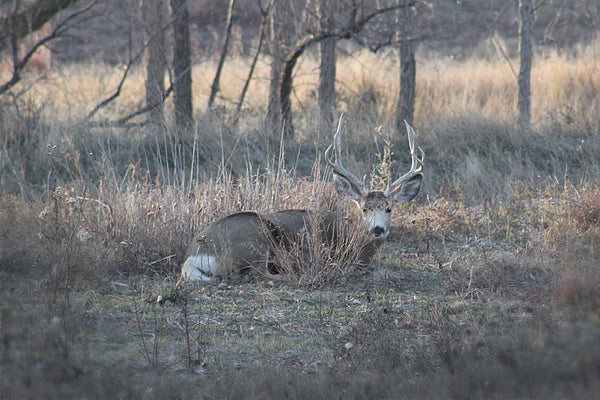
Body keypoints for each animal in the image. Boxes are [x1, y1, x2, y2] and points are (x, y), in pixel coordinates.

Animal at [182, 116, 422, 282]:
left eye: (389, 209)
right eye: (364, 208)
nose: (377, 229)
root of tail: (193, 256)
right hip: (254, 240)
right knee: (259, 275)